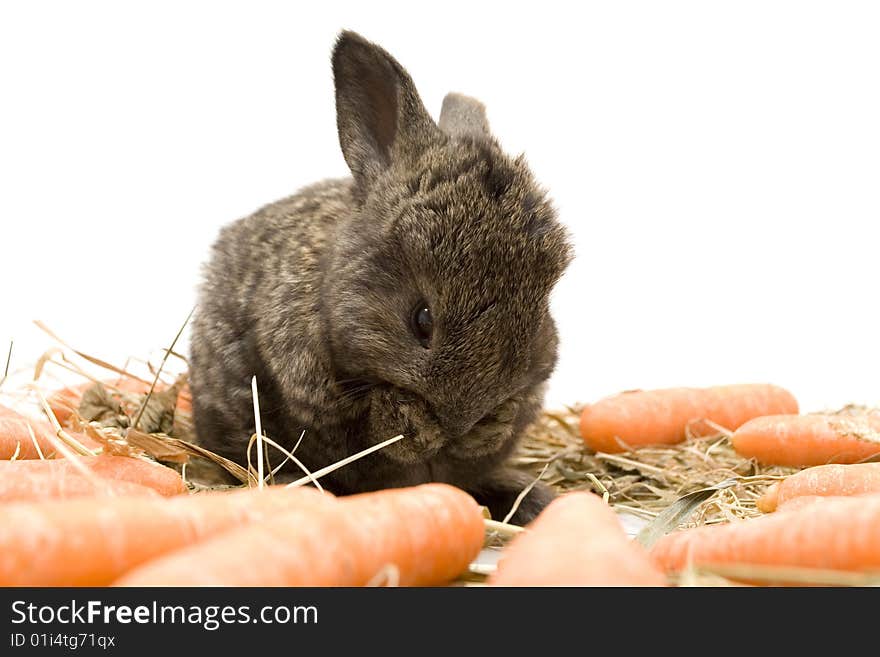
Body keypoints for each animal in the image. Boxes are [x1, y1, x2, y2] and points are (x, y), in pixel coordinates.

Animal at [190, 29, 576, 524]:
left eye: (538, 313)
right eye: (421, 319)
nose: (460, 420)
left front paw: (485, 430)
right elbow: (379, 428)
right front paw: (422, 429)